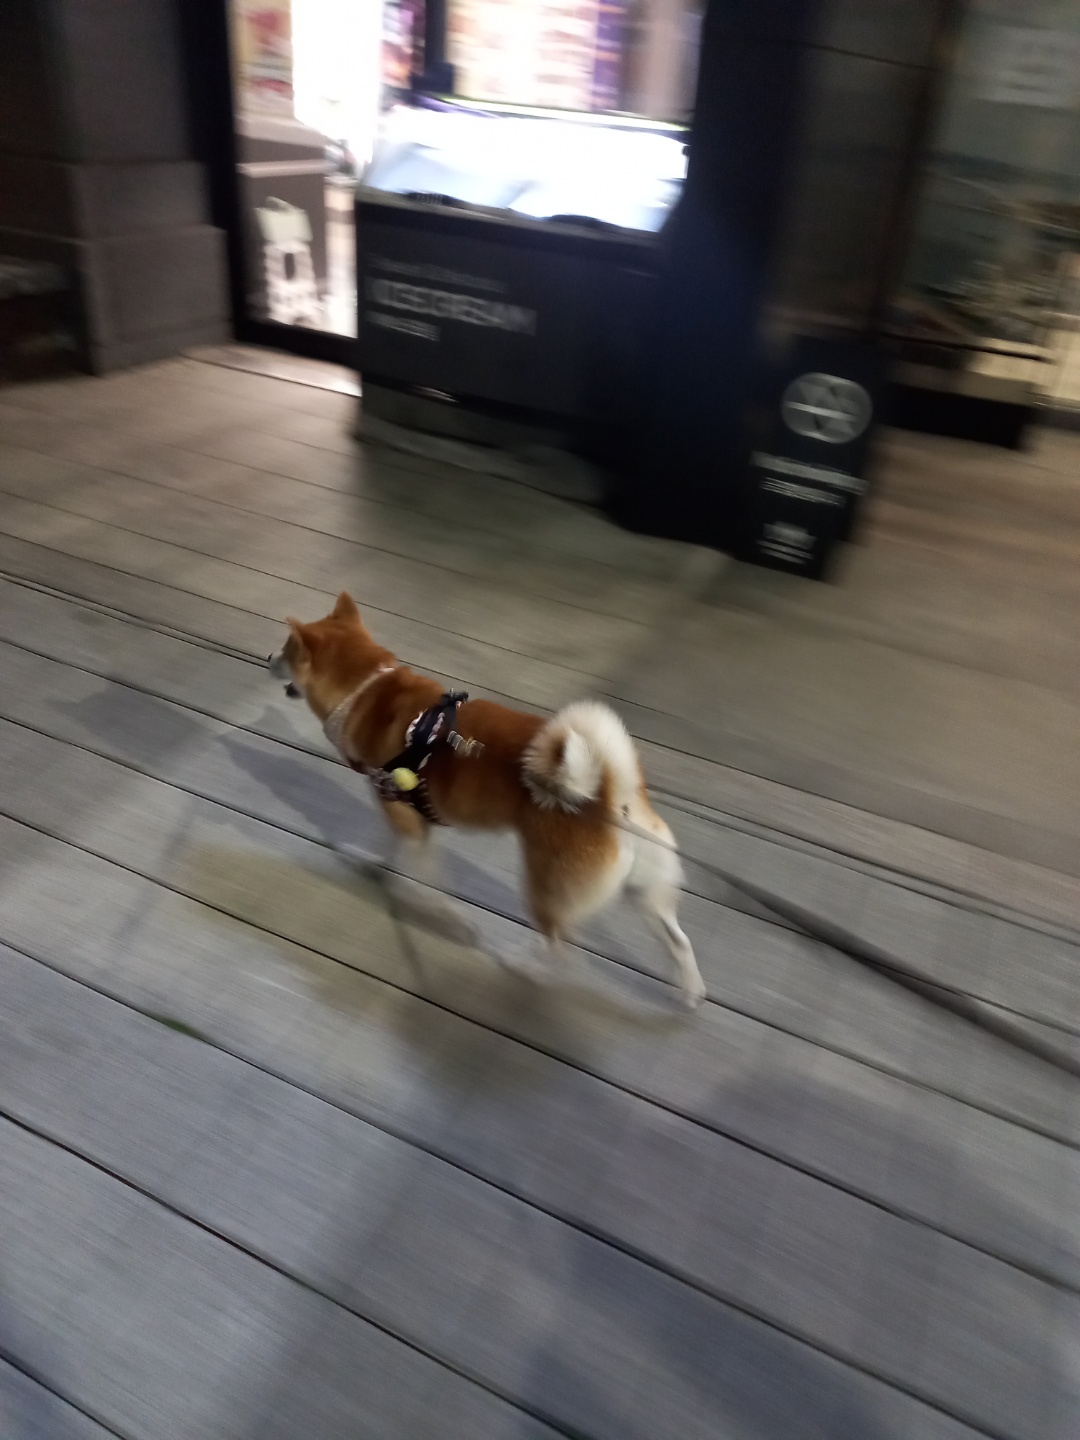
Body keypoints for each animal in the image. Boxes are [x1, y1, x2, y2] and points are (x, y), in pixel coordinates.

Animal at [268, 591, 706, 1006]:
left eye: (286, 651)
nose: (269, 657)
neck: (366, 690)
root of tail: (611, 794)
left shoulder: (404, 818)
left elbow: (426, 882)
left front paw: (442, 914)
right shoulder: (402, 813)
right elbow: (387, 847)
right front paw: (370, 862)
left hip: (546, 887)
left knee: (561, 950)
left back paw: (526, 969)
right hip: (644, 892)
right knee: (678, 939)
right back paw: (689, 991)